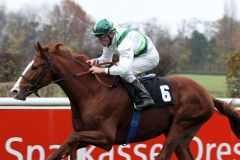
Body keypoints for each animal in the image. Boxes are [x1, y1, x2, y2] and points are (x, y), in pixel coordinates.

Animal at [10, 41, 240, 160]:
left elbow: (71, 138)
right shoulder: (87, 134)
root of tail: (206, 94)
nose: (15, 90)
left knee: (163, 155)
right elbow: (67, 145)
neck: (92, 93)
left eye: (35, 66)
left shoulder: (106, 137)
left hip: (181, 125)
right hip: (184, 135)